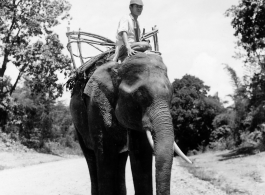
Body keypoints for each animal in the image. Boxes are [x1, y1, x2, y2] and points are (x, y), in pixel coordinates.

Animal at [69, 50, 190, 195]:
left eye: (171, 96)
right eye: (139, 95)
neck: (118, 68)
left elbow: (140, 154)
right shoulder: (96, 104)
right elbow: (105, 155)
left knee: (120, 161)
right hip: (77, 125)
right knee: (91, 158)